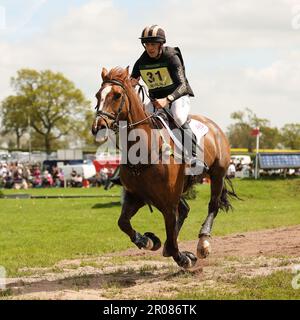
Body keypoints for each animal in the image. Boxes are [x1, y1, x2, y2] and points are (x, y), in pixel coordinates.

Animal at [92, 66, 239, 268]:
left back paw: (203, 243)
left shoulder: (168, 204)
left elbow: (171, 239)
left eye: (116, 95)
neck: (144, 151)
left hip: (217, 174)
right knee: (185, 210)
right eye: (98, 95)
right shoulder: (136, 197)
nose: (98, 127)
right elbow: (123, 223)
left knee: (213, 205)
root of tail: (214, 126)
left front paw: (184, 258)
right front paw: (147, 240)